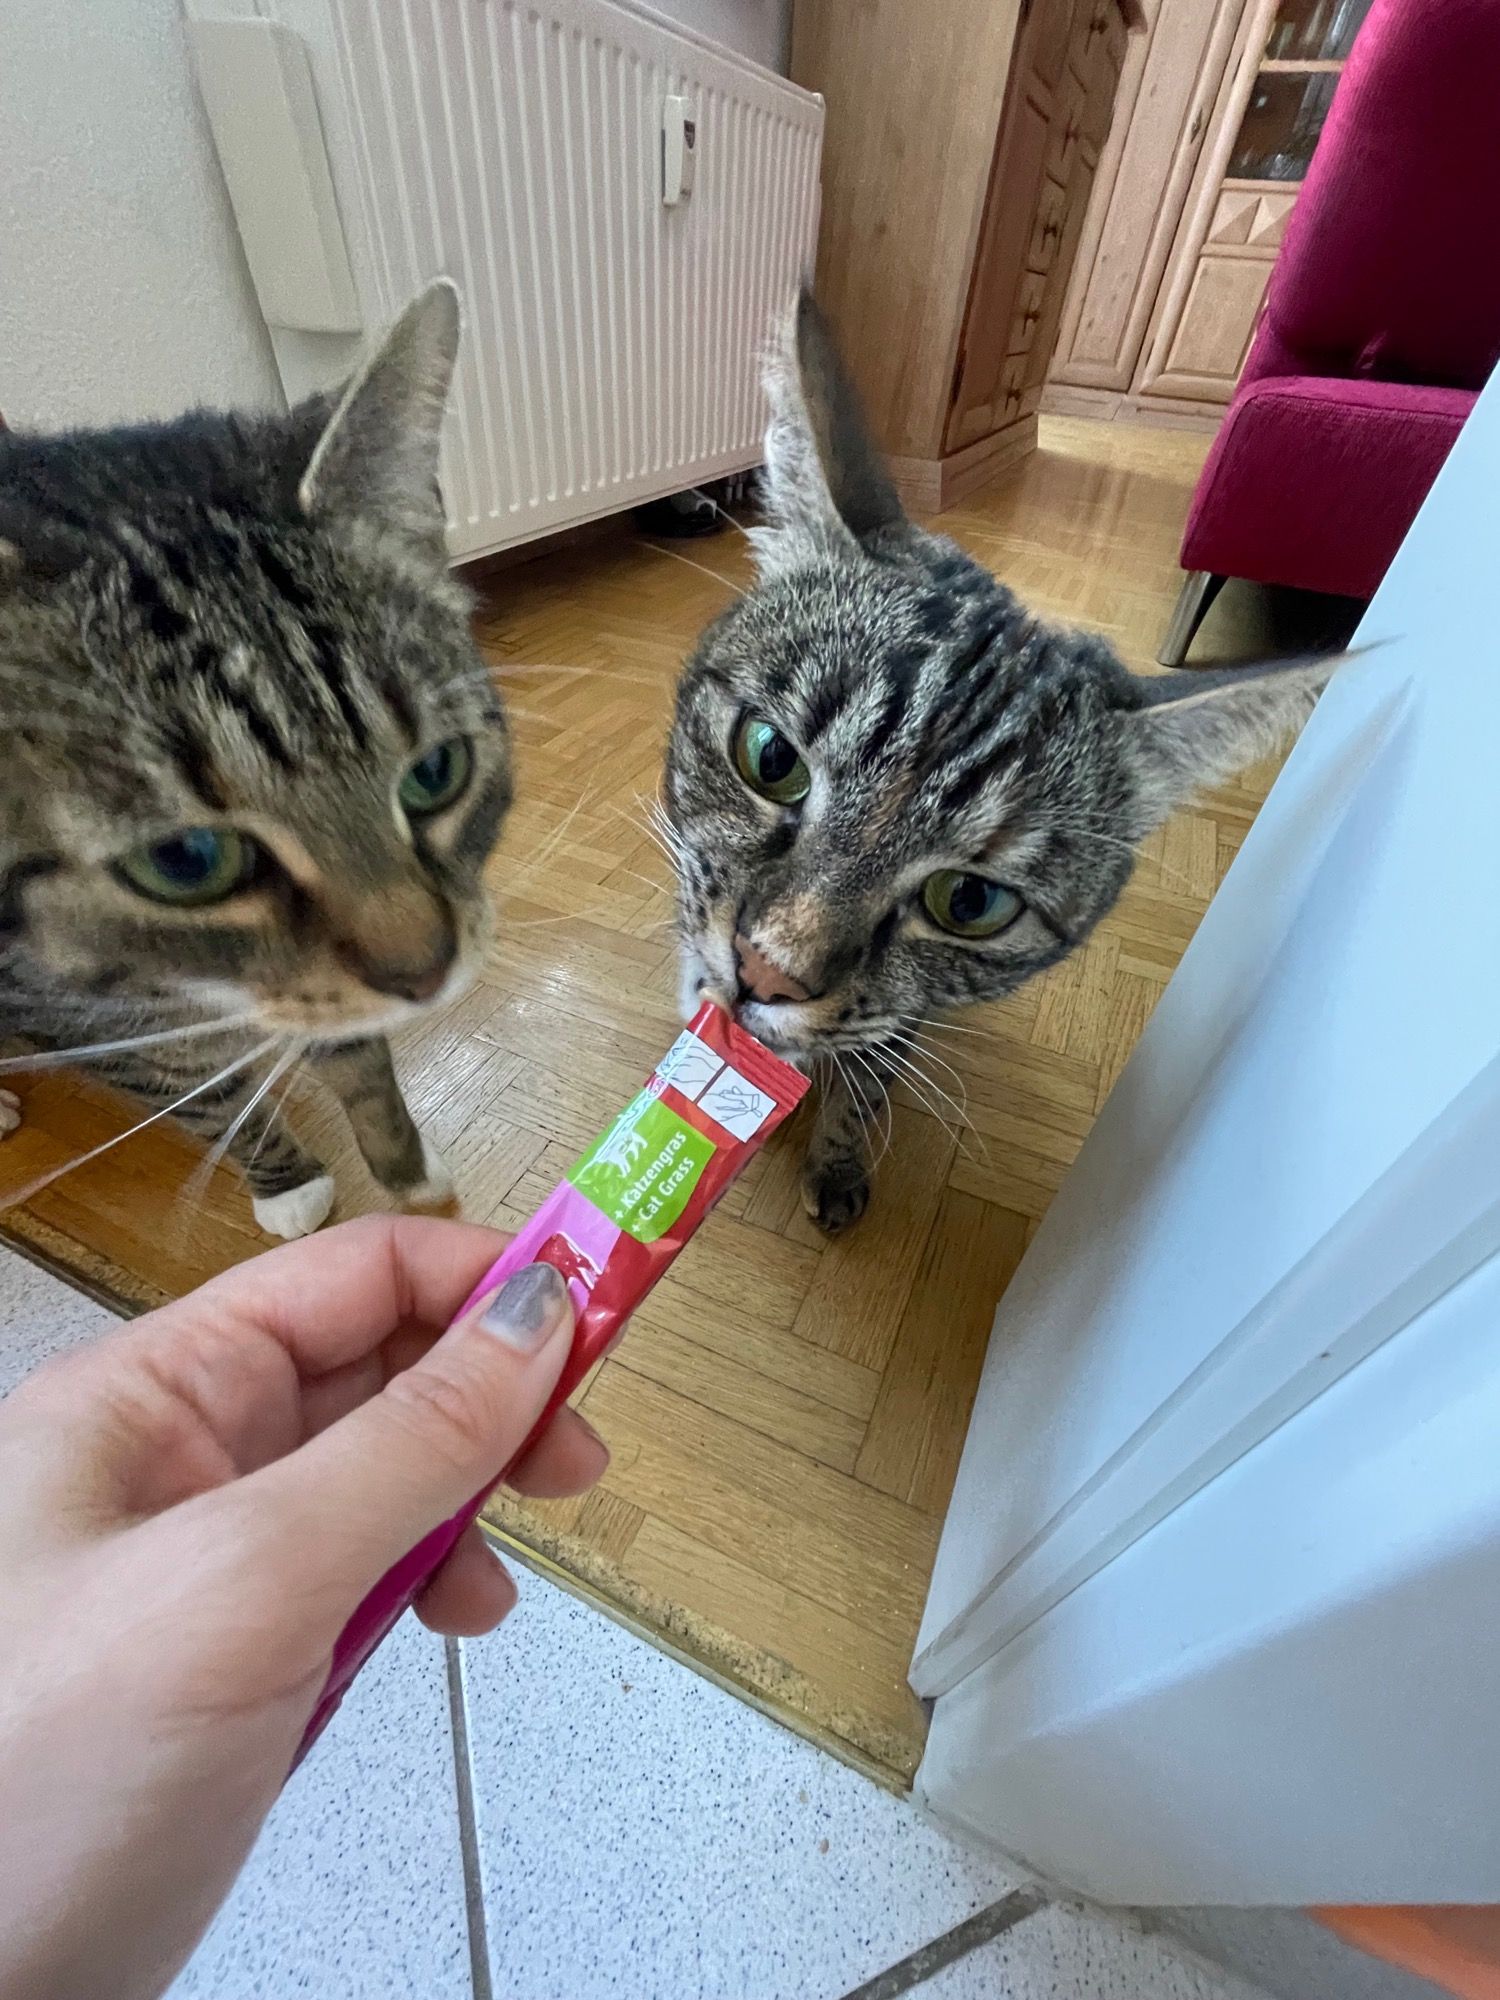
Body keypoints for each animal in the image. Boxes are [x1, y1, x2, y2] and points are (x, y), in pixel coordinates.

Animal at [0, 283, 509, 1239]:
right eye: (184, 860)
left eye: (436, 774)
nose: (425, 974)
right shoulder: (102, 1029)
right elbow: (205, 1098)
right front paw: (287, 1182)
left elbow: (356, 1057)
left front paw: (407, 1168)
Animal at [666, 295, 1337, 1234]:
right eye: (771, 759)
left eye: (970, 904)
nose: (768, 972)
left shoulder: (902, 1009)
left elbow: (869, 1070)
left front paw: (836, 1148)